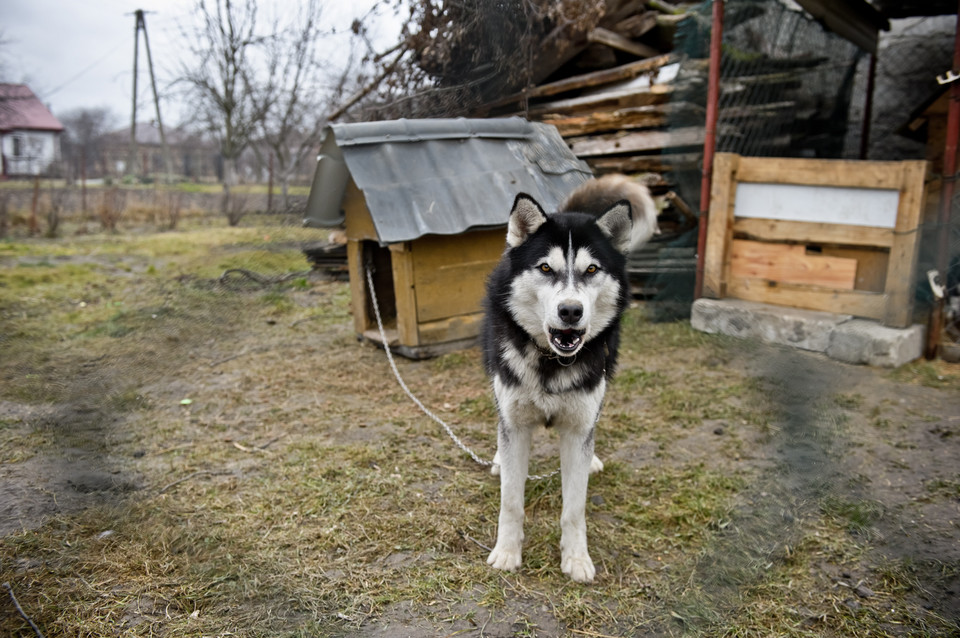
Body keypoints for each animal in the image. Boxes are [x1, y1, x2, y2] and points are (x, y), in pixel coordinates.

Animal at [484, 175, 656, 584]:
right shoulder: (515, 423)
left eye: (591, 270)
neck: (552, 361)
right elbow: (510, 500)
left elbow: (574, 507)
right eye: (546, 269)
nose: (570, 311)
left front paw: (576, 558)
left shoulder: (579, 428)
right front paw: (507, 552)